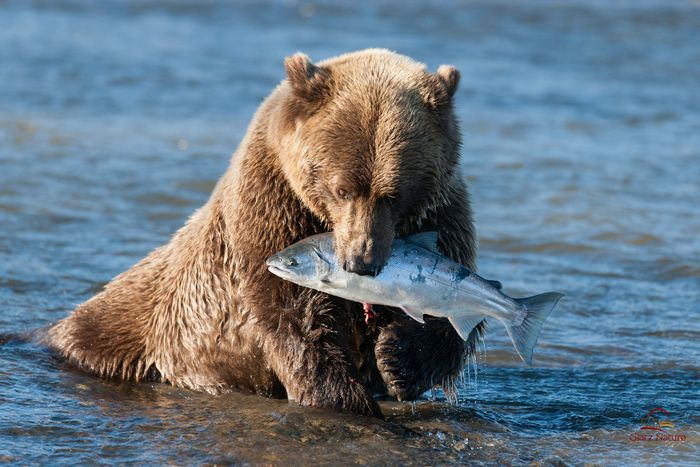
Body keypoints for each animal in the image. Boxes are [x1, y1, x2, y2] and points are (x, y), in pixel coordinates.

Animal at [45, 49, 482, 418]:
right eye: (342, 188)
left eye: (394, 194)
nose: (362, 261)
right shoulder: (272, 206)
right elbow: (296, 314)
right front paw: (345, 399)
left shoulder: (441, 213)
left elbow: (453, 310)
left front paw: (396, 358)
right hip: (136, 326)